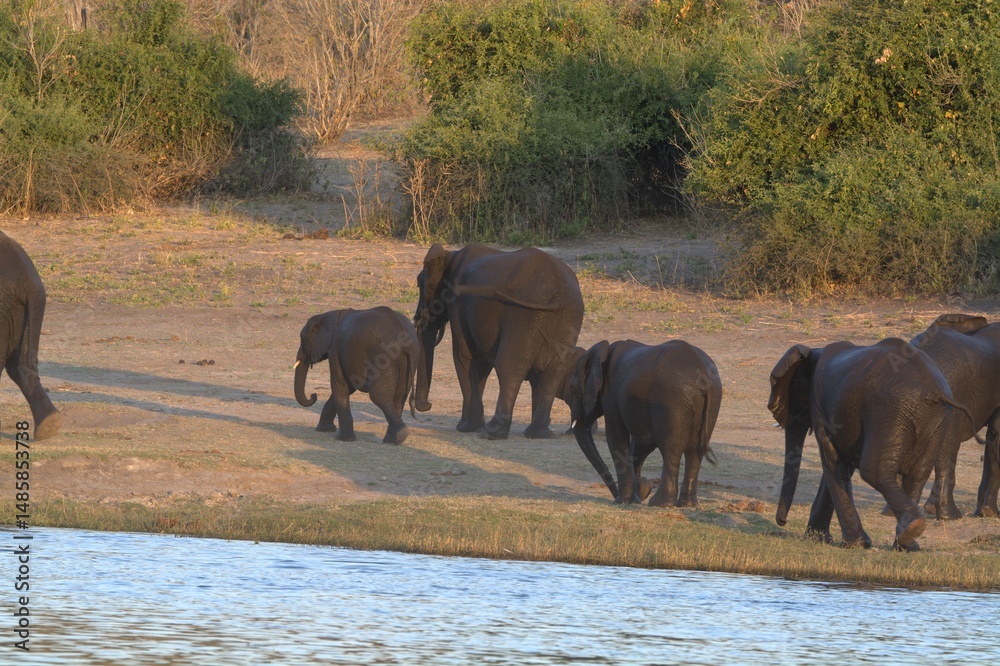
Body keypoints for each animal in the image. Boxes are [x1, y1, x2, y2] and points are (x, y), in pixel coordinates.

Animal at [294, 307, 419, 444]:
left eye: (302, 339)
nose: (313, 395)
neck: (327, 316)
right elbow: (349, 386)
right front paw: (324, 430)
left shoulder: (334, 349)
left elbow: (340, 385)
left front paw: (344, 439)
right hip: (410, 358)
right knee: (399, 398)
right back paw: (392, 440)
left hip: (385, 357)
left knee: (379, 396)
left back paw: (399, 436)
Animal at [413, 243, 584, 440]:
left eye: (418, 283)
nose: (427, 405)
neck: (450, 254)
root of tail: (559, 294)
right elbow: (480, 364)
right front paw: (469, 426)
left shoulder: (456, 303)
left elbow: (465, 357)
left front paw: (466, 427)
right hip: (568, 319)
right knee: (553, 373)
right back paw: (538, 433)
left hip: (523, 315)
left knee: (509, 368)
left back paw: (492, 432)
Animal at [565, 339, 722, 507]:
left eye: (572, 389)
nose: (615, 495)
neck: (602, 351)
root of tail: (703, 373)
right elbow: (642, 442)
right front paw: (639, 494)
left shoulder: (611, 394)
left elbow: (616, 436)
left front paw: (623, 501)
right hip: (712, 401)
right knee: (694, 452)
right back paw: (687, 504)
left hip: (672, 402)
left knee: (671, 449)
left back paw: (660, 503)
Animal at [769, 338, 973, 551]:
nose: (782, 522)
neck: (813, 352)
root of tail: (934, 391)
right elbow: (842, 464)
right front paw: (820, 539)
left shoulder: (821, 406)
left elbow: (834, 462)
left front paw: (853, 544)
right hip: (936, 419)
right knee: (918, 474)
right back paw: (906, 543)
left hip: (889, 413)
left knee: (873, 471)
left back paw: (911, 531)